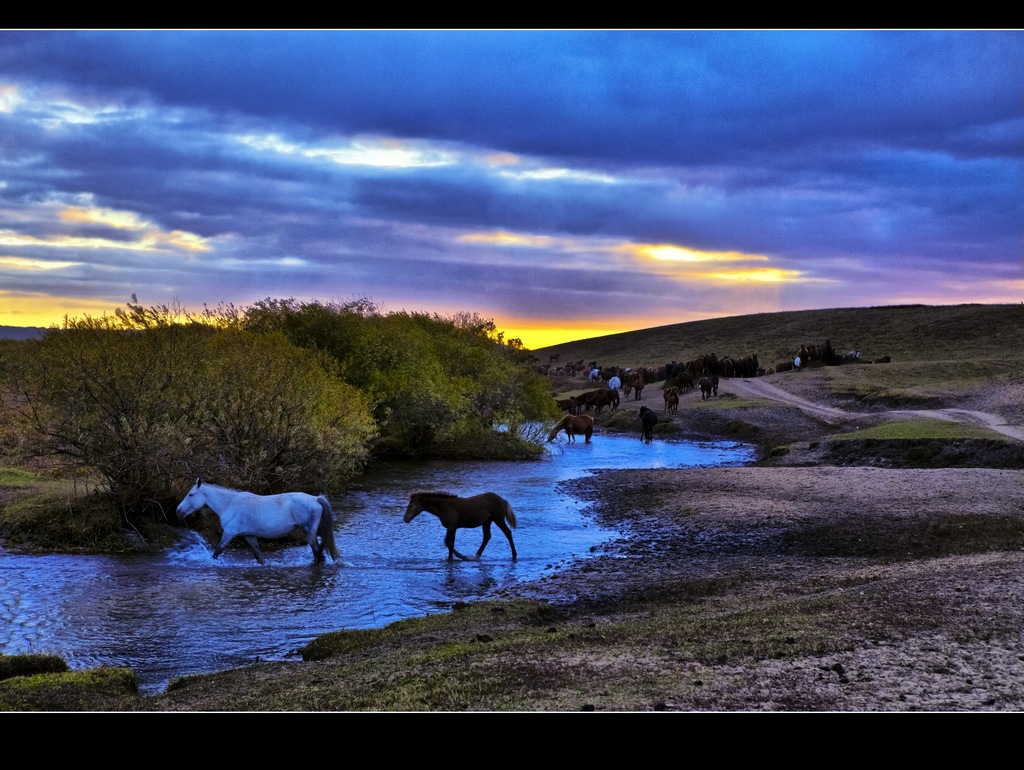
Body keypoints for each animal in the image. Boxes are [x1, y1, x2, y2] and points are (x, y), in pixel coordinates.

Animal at [174, 475, 337, 565]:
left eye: (190, 494)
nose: (178, 511)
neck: (229, 503)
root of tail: (316, 499)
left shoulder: (229, 533)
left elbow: (217, 552)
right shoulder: (249, 536)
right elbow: (259, 557)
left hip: (309, 532)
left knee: (317, 551)